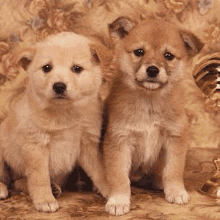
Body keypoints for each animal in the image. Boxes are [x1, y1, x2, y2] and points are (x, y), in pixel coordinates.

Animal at [0, 31, 109, 212]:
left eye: (77, 68)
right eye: (47, 68)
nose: (59, 86)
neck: (64, 112)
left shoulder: (88, 145)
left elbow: (100, 171)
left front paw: (113, 191)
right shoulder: (36, 145)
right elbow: (39, 178)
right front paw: (44, 200)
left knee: (17, 182)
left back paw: (54, 188)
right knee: (9, 181)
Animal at [102, 16, 203, 215]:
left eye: (168, 56)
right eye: (139, 52)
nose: (152, 70)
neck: (149, 102)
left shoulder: (174, 138)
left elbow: (173, 170)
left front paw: (176, 191)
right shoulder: (119, 140)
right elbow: (118, 175)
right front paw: (118, 200)